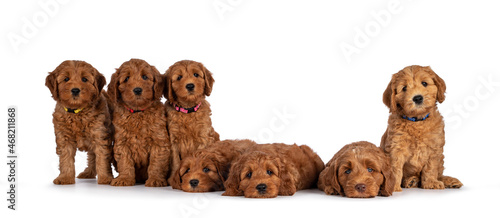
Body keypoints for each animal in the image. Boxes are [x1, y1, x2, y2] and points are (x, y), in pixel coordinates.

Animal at [106, 58, 171, 186]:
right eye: (126, 78)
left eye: (145, 77)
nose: (137, 90)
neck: (137, 112)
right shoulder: (122, 143)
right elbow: (125, 162)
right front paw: (124, 178)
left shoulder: (159, 142)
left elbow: (156, 163)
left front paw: (155, 179)